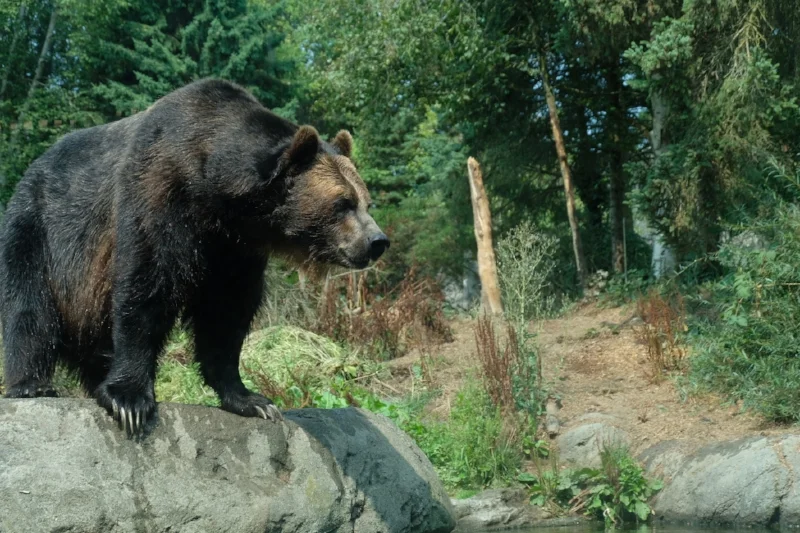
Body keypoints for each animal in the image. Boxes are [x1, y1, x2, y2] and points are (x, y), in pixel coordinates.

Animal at [0, 79, 389, 435]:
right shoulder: (159, 194)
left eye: (366, 201)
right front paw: (130, 400)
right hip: (37, 231)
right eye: (342, 203)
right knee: (29, 309)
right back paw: (32, 384)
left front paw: (251, 399)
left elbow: (226, 313)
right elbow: (146, 286)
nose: (377, 241)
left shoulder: (233, 248)